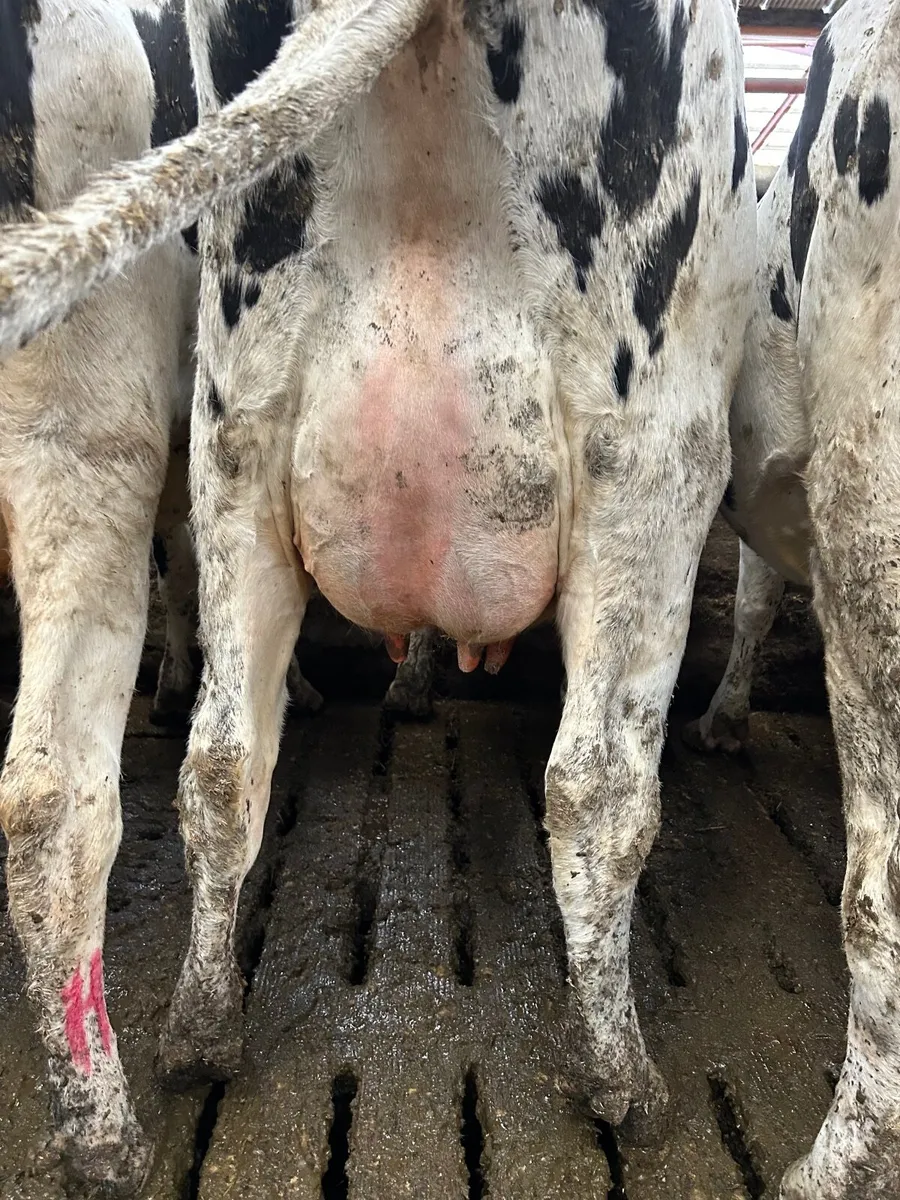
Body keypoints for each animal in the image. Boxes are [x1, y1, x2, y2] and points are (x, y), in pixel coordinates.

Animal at [0, 0, 756, 1193]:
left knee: (195, 768)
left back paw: (177, 1053)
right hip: (653, 452)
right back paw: (619, 1074)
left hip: (217, 426)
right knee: (599, 786)